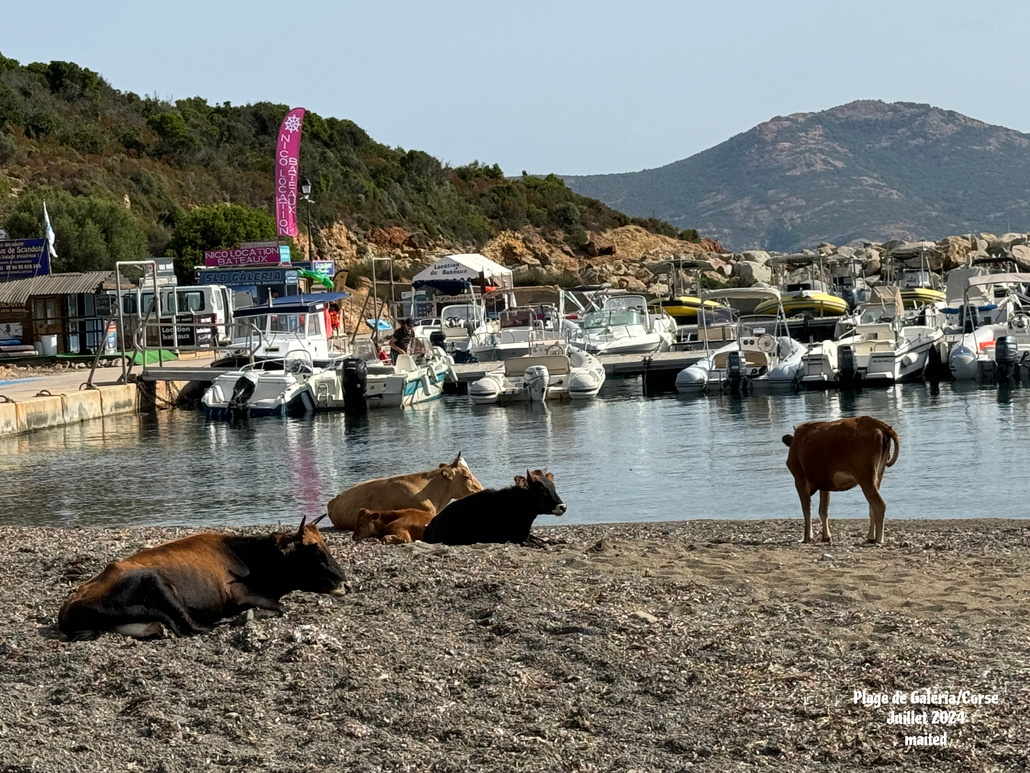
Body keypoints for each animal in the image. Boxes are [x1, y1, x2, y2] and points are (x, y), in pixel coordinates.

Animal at [58, 515, 344, 643]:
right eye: (314, 552)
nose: (344, 581)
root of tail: (69, 606)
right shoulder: (240, 595)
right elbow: (280, 607)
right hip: (156, 582)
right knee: (192, 627)